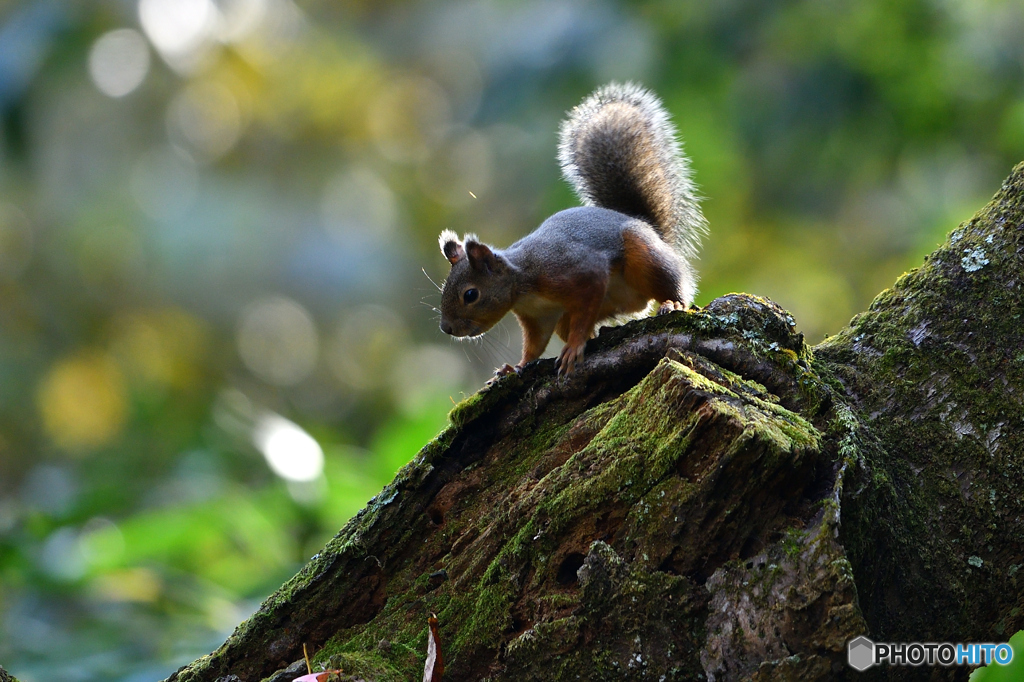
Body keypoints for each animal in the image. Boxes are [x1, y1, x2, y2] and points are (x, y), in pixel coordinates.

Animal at [432, 82, 704, 376]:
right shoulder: (538, 317)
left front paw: (574, 348)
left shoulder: (577, 272)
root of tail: (647, 227)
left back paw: (671, 303)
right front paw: (515, 367)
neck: (523, 281)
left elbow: (584, 312)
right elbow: (535, 345)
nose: (446, 328)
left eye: (470, 294)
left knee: (671, 285)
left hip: (646, 258)